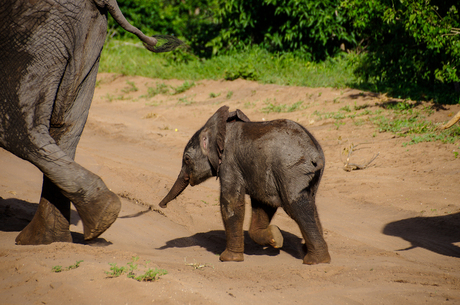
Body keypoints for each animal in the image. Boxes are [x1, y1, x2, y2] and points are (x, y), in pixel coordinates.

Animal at [159, 105, 330, 262]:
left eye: (187, 159)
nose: (162, 205)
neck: (220, 128)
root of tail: (315, 153)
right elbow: (263, 203)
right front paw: (275, 237)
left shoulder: (229, 162)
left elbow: (231, 203)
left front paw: (228, 259)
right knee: (310, 204)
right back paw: (311, 254)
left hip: (291, 171)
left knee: (297, 206)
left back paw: (315, 261)